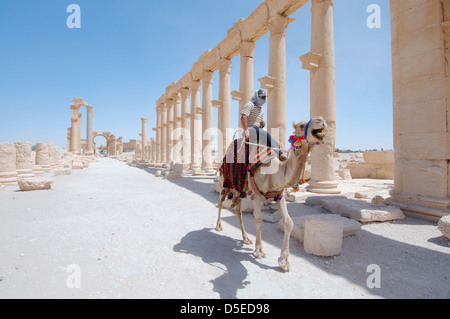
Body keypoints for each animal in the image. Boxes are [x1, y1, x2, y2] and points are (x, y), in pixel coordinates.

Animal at [215, 117, 326, 272]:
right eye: (301, 125)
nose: (321, 120)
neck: (274, 173)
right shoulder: (256, 195)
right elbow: (259, 221)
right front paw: (259, 251)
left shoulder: (279, 195)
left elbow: (289, 222)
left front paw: (284, 261)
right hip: (224, 182)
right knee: (220, 202)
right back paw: (218, 226)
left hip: (240, 189)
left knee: (238, 211)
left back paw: (246, 238)